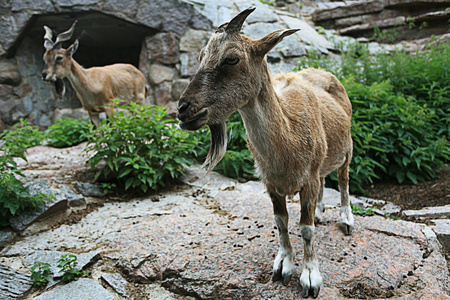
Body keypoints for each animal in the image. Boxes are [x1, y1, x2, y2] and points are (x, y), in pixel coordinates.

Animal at [177, 6, 356, 298]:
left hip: (347, 149)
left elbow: (306, 229)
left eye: (231, 58)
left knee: (343, 180)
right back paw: (320, 212)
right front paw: (283, 265)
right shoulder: (270, 182)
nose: (183, 110)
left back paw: (346, 219)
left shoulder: (307, 179)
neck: (287, 141)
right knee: (325, 180)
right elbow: (281, 221)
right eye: (202, 55)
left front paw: (310, 277)